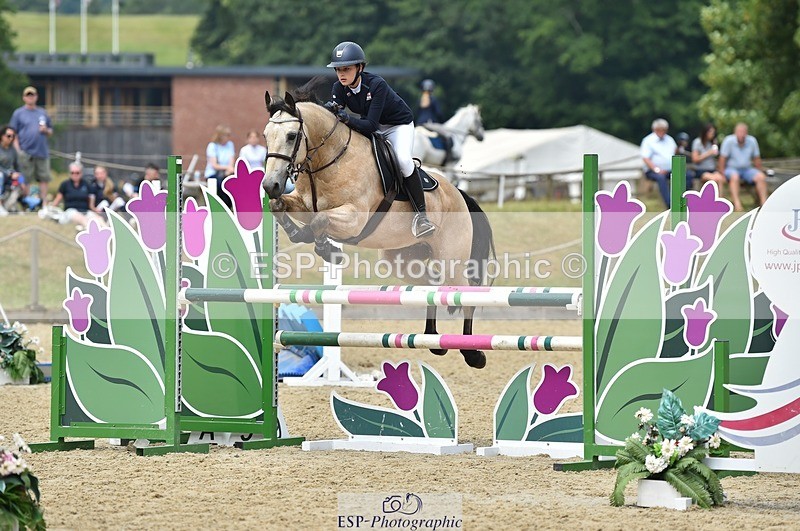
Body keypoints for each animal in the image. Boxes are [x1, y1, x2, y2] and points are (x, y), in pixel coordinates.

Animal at [261, 87, 495, 369]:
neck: (330, 160)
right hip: (402, 260)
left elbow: (320, 221)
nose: (270, 184)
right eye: (265, 136)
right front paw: (309, 239)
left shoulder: (354, 218)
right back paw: (433, 339)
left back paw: (473, 354)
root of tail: (459, 193)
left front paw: (327, 249)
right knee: (432, 286)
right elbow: (280, 207)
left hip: (452, 259)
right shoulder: (304, 205)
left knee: (468, 292)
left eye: (292, 135)